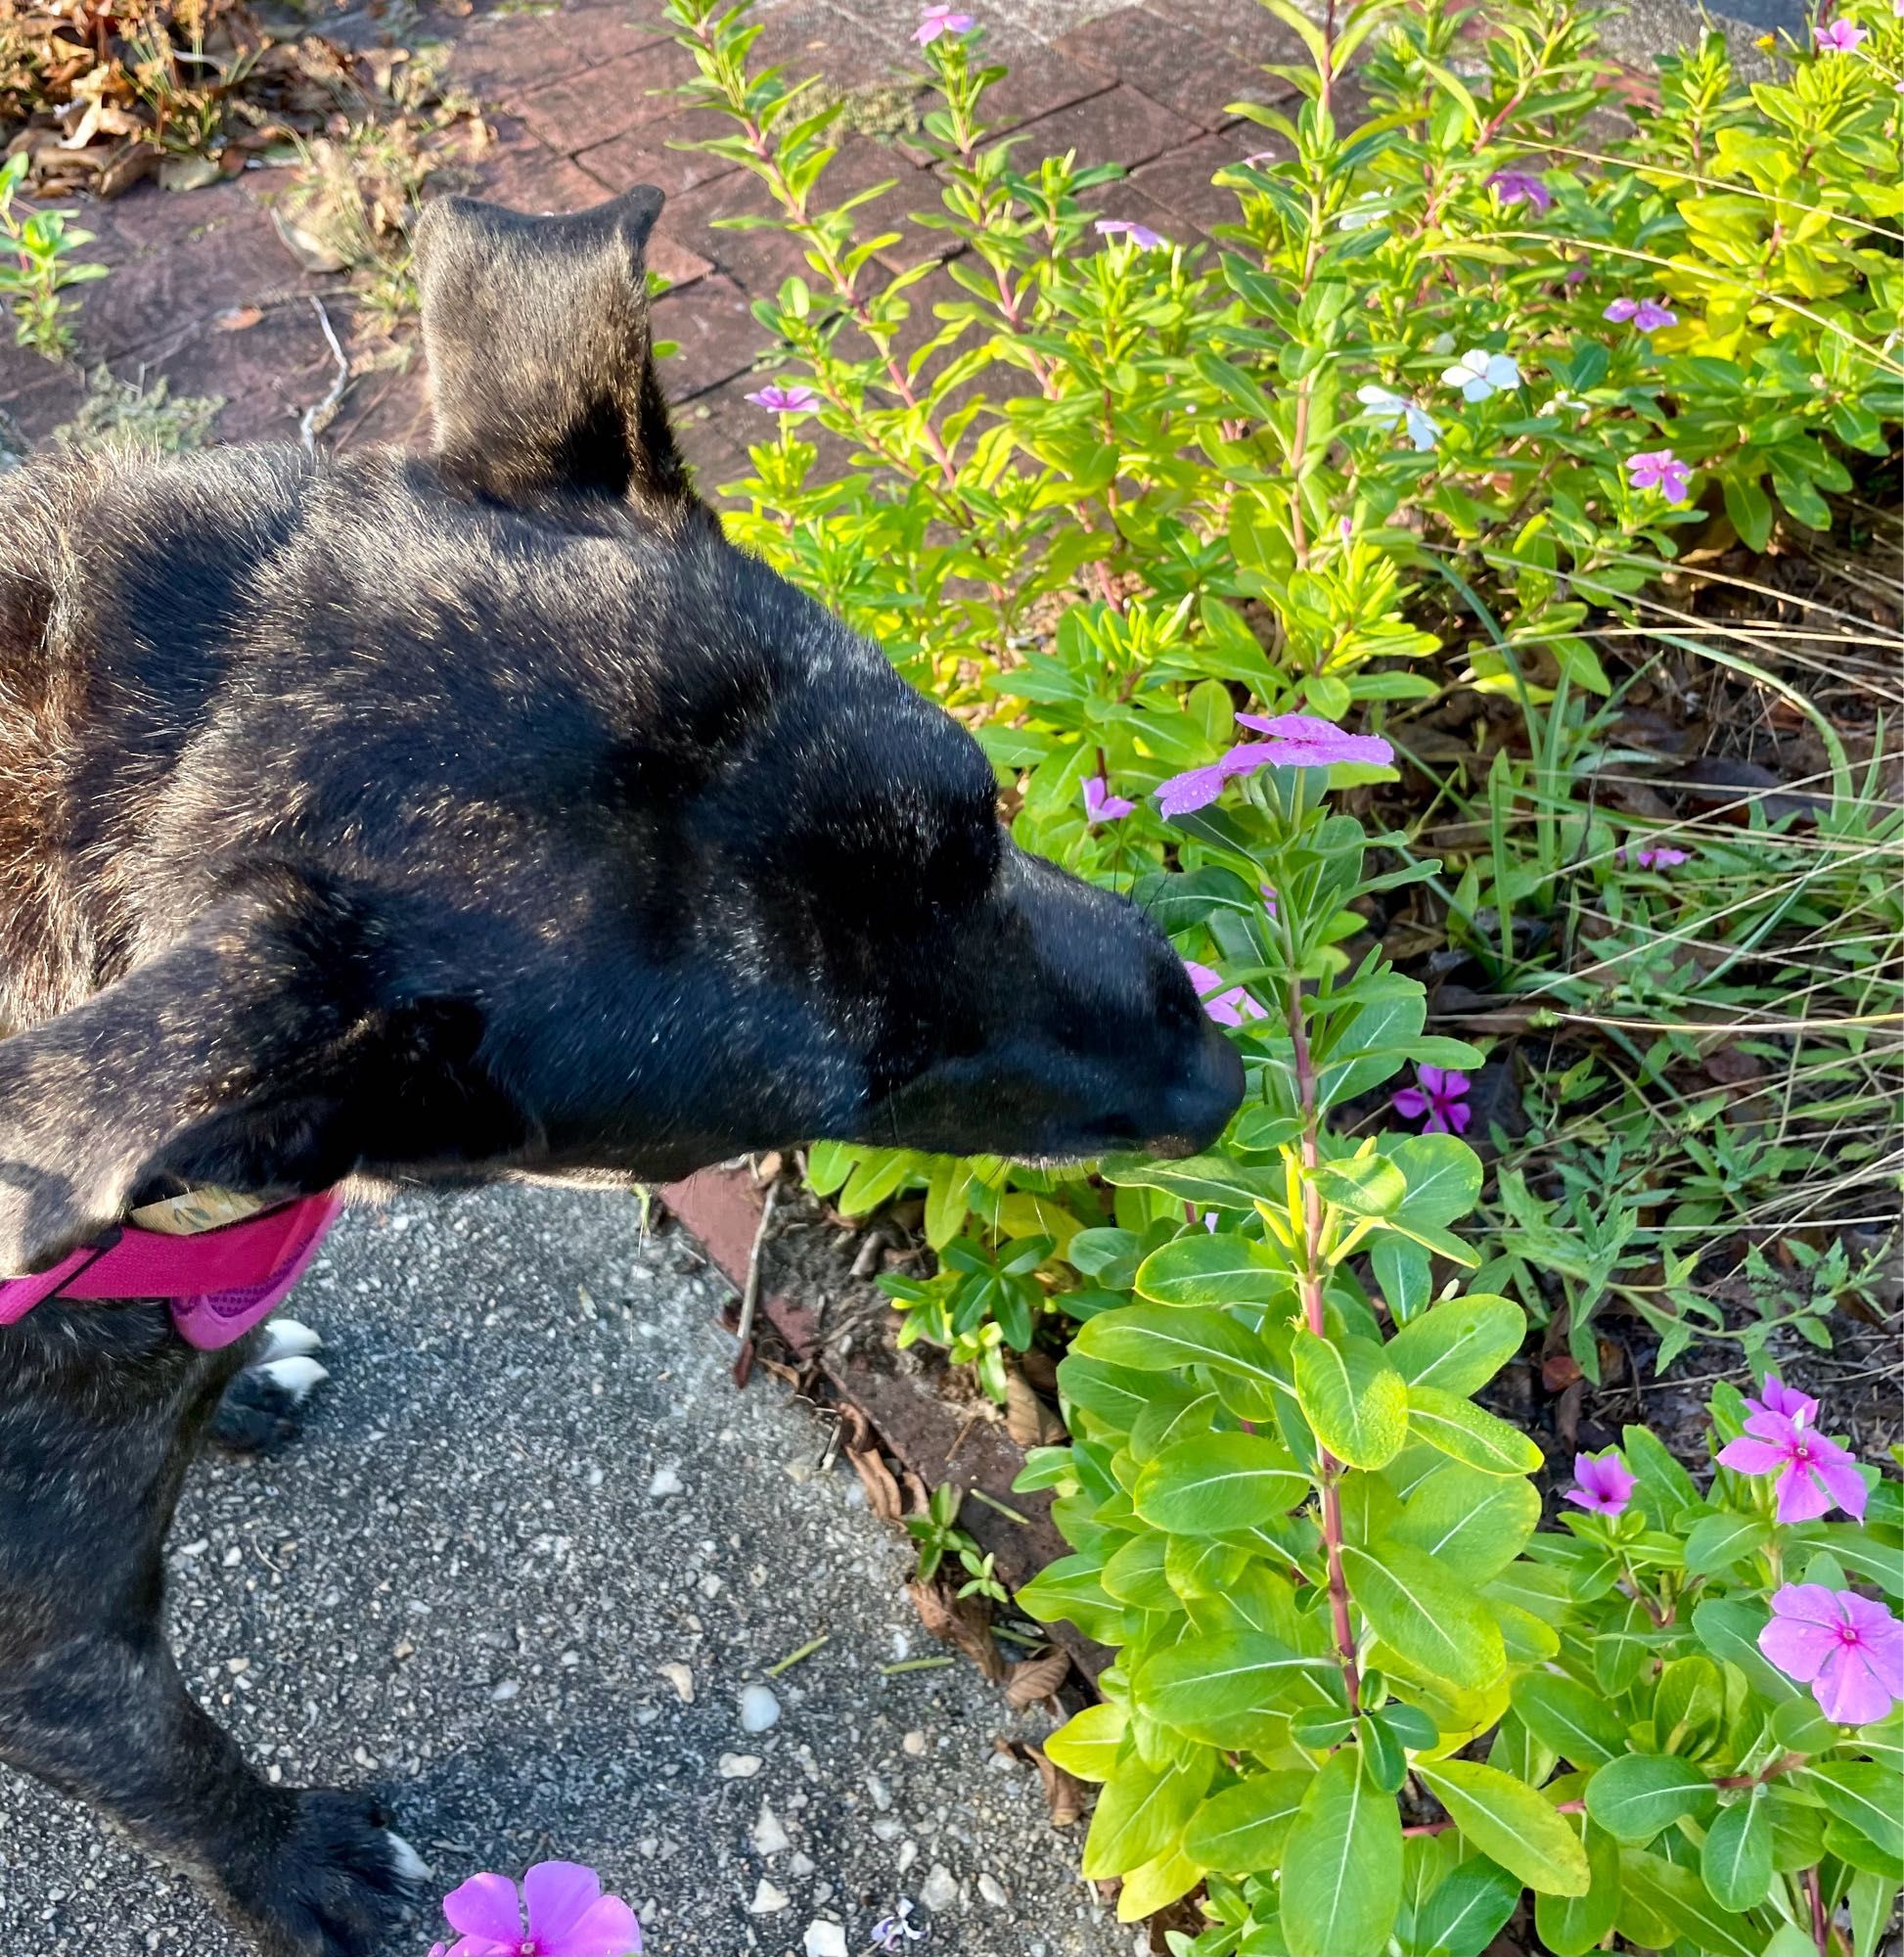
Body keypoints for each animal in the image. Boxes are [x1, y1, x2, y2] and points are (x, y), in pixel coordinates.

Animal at [0, 187, 1245, 1957]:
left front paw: (240, 1376)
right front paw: (292, 1865)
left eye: (985, 816)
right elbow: (173, 1765)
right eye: (846, 1098)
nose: (1217, 1084)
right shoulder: (52, 1652)